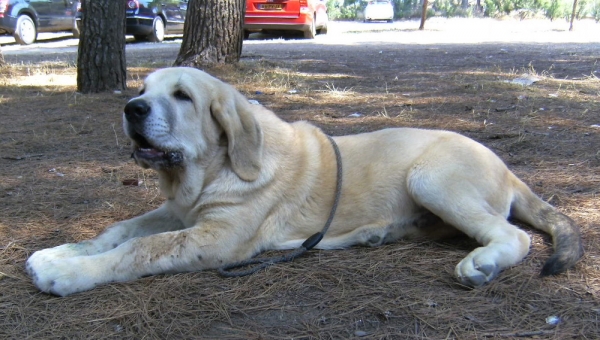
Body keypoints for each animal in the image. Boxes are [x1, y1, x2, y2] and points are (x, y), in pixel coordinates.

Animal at [27, 66, 580, 294]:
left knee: (512, 235)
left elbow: (139, 249)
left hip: (431, 178)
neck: (208, 172)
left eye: (182, 96)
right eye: (142, 90)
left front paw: (69, 273)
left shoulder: (217, 238)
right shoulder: (178, 213)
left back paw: (481, 264)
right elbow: (119, 231)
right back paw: (379, 232)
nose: (132, 108)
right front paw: (61, 252)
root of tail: (509, 169)